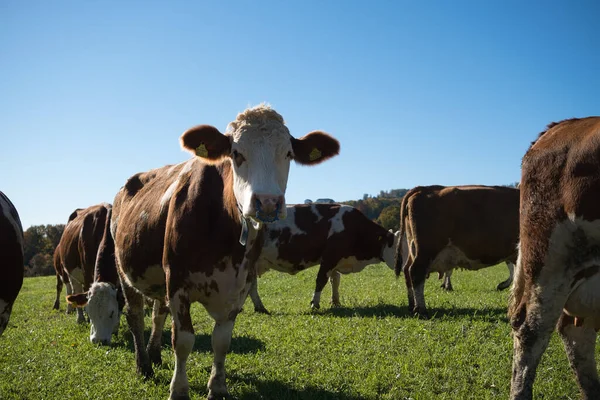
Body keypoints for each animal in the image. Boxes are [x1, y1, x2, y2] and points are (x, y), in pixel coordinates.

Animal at [91, 104, 340, 398]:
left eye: (288, 154)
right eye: (236, 153)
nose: (268, 202)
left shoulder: (240, 284)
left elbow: (221, 340)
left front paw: (218, 387)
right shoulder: (177, 283)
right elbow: (183, 340)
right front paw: (179, 389)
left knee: (158, 313)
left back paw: (154, 355)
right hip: (125, 270)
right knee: (136, 315)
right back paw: (144, 365)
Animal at [246, 203, 400, 312]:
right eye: (397, 249)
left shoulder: (336, 261)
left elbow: (335, 280)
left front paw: (336, 302)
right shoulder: (329, 257)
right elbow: (321, 280)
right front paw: (315, 303)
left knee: (251, 285)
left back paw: (260, 308)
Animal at [394, 185, 520, 318]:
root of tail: (424, 188)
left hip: (414, 248)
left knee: (407, 270)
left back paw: (411, 305)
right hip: (427, 250)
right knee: (416, 272)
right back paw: (421, 310)